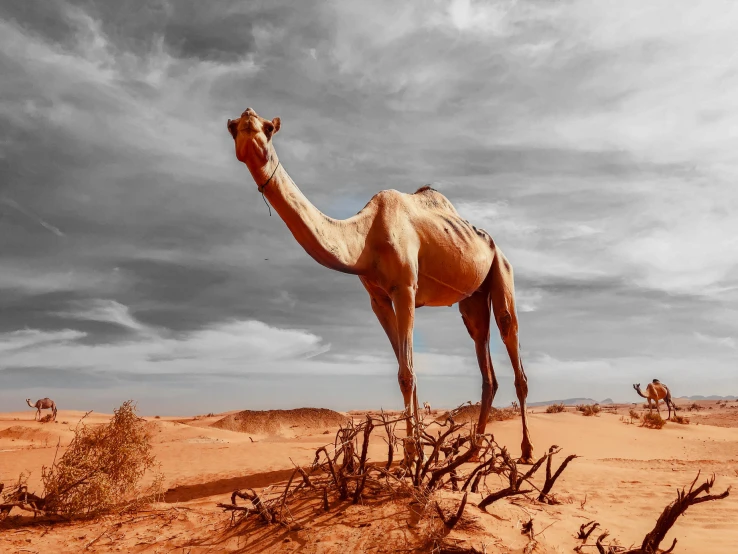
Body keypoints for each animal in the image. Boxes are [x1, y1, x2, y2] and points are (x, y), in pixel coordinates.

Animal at [227, 108, 532, 462]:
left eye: (267, 128)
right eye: (235, 128)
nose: (248, 127)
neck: (365, 238)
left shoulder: (405, 289)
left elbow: (407, 373)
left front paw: (413, 455)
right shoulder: (378, 299)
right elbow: (405, 370)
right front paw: (415, 453)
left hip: (501, 269)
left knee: (510, 336)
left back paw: (526, 450)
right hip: (472, 299)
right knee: (484, 358)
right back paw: (473, 449)